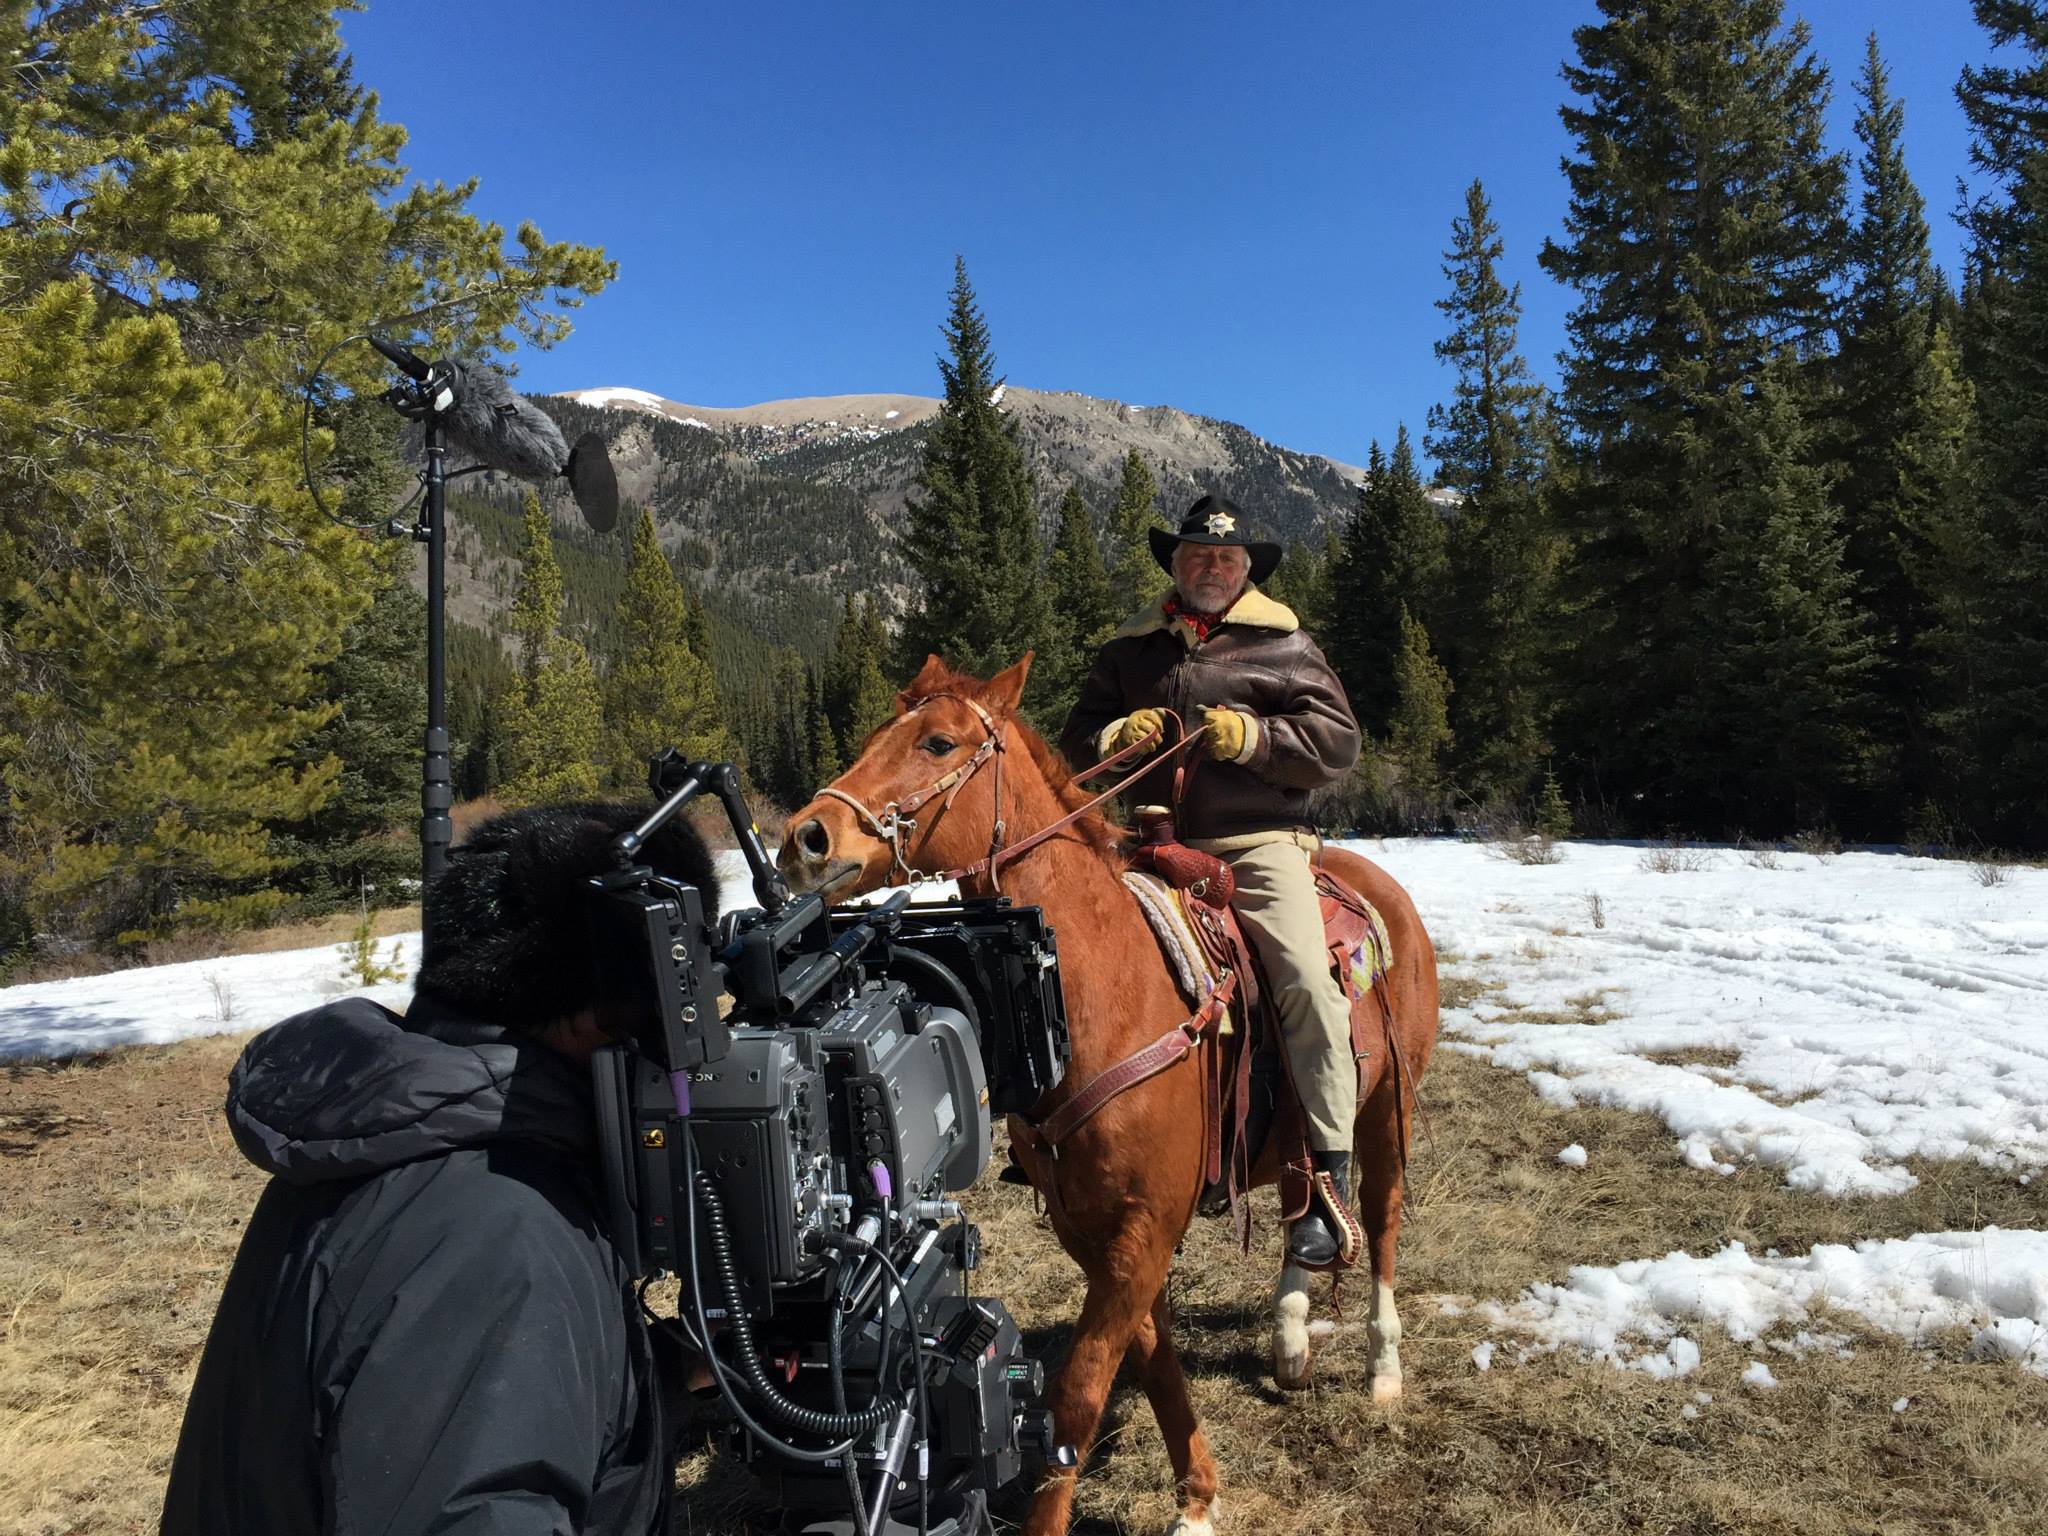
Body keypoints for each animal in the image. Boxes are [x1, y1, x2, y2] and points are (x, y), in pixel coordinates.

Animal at [778, 659, 1441, 1536]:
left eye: (938, 742)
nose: (805, 838)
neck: (1106, 992)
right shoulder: (1097, 1233)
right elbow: (1154, 1360)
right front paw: (1198, 1496)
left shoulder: (1143, 1229)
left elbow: (1079, 1395)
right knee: (1304, 1205)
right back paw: (1292, 1340)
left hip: (1387, 1109)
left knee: (1382, 1220)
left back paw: (1384, 1369)